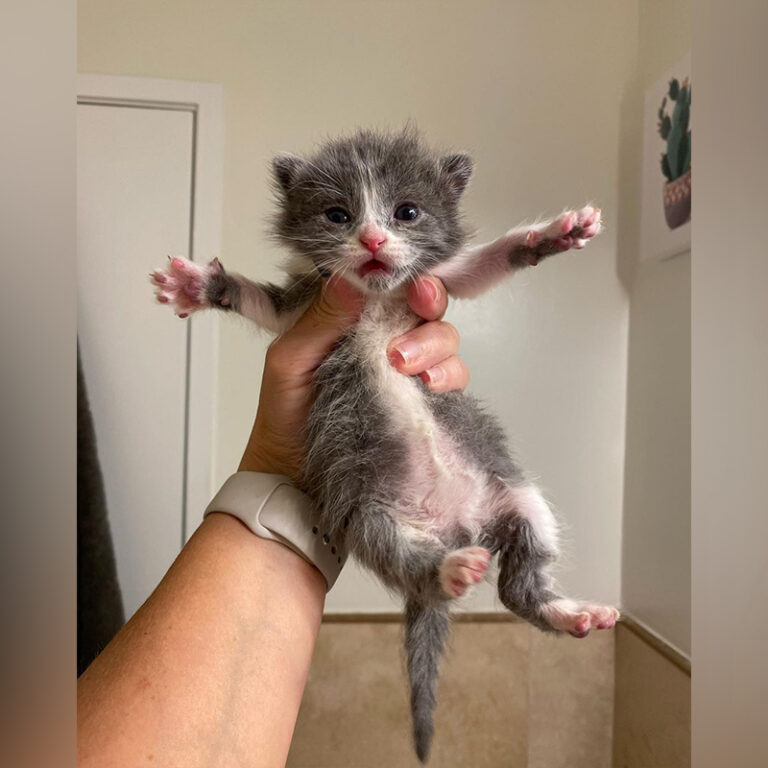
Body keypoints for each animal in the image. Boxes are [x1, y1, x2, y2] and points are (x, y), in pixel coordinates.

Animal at [150, 127, 616, 760]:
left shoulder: (434, 284)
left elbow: (483, 264)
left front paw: (552, 235)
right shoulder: (301, 312)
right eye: (338, 215)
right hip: (369, 510)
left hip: (518, 499)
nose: (372, 238)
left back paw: (566, 612)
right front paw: (202, 284)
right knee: (406, 558)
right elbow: (258, 300)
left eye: (407, 212)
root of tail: (458, 527)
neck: (374, 297)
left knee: (521, 583)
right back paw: (451, 573)